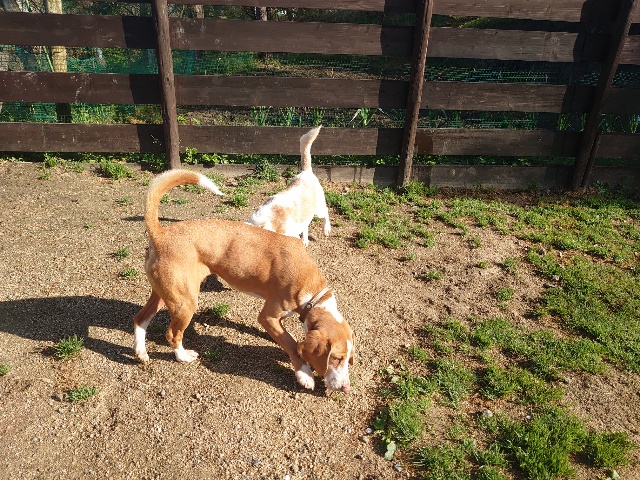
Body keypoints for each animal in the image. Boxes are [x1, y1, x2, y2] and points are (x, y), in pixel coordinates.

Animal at [133, 169, 354, 392]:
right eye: (336, 358)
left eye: (349, 359)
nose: (346, 388)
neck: (312, 293)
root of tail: (160, 234)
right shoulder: (267, 317)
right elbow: (292, 344)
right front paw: (305, 374)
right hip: (185, 302)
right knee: (172, 334)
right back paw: (183, 356)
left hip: (165, 294)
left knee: (140, 319)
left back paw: (141, 352)